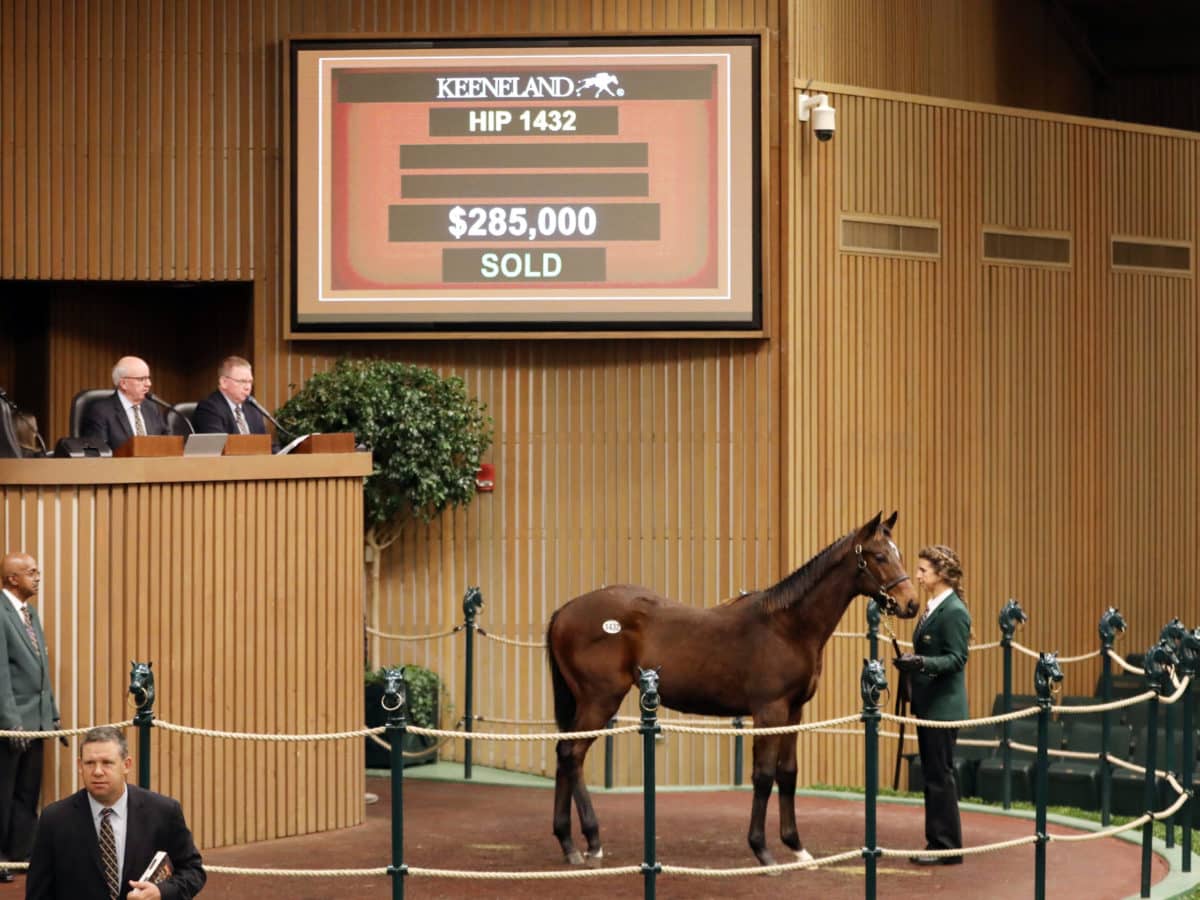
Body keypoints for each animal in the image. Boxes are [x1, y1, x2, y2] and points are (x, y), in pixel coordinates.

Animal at [547, 511, 916, 868]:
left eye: (898, 554)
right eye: (880, 556)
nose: (910, 603)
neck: (788, 627)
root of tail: (564, 611)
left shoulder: (794, 711)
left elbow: (788, 773)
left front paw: (797, 848)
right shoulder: (769, 711)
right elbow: (764, 775)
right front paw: (762, 850)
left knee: (563, 754)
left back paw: (568, 844)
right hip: (600, 700)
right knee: (573, 755)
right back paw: (592, 842)